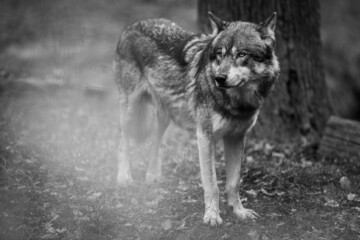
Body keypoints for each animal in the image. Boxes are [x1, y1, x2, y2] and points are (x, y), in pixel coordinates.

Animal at [112, 12, 278, 226]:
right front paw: (212, 215)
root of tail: (132, 25)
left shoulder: (236, 137)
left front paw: (239, 211)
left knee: (156, 142)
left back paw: (153, 175)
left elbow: (233, 183)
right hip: (130, 111)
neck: (236, 103)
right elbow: (212, 185)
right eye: (220, 54)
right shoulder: (205, 136)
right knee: (122, 142)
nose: (219, 78)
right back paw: (124, 177)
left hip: (165, 116)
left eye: (242, 54)